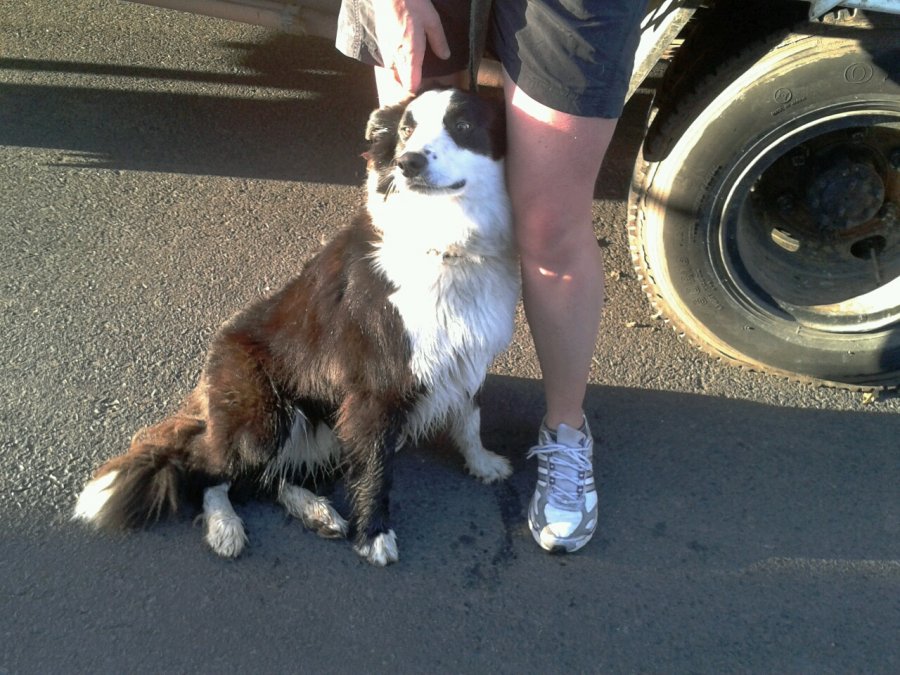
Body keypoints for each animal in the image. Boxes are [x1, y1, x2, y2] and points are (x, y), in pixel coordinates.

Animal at [74, 88, 520, 564]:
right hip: (265, 418)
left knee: (269, 478)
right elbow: (376, 470)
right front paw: (375, 536)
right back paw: (225, 527)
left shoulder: (466, 357)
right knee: (207, 469)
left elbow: (470, 418)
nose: (409, 162)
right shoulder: (373, 388)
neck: (446, 243)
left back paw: (315, 511)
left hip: (324, 425)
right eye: (406, 130)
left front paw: (484, 464)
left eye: (463, 126)